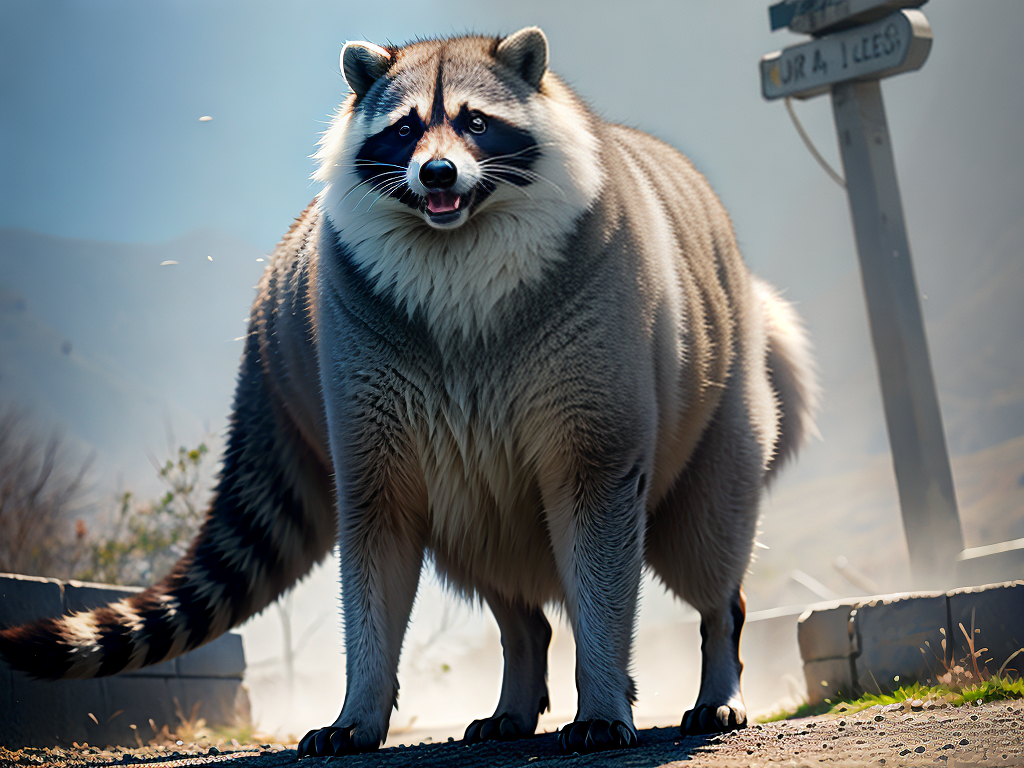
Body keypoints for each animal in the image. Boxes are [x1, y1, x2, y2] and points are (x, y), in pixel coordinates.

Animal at [0, 27, 817, 756]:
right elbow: (373, 556)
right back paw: (518, 686)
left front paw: (605, 693)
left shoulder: (597, 349)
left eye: (477, 122)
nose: (438, 176)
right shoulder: (361, 366)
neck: (458, 240)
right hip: (466, 487)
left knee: (710, 561)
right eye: (404, 129)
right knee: (511, 596)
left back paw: (717, 665)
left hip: (718, 422)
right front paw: (360, 704)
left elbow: (602, 546)